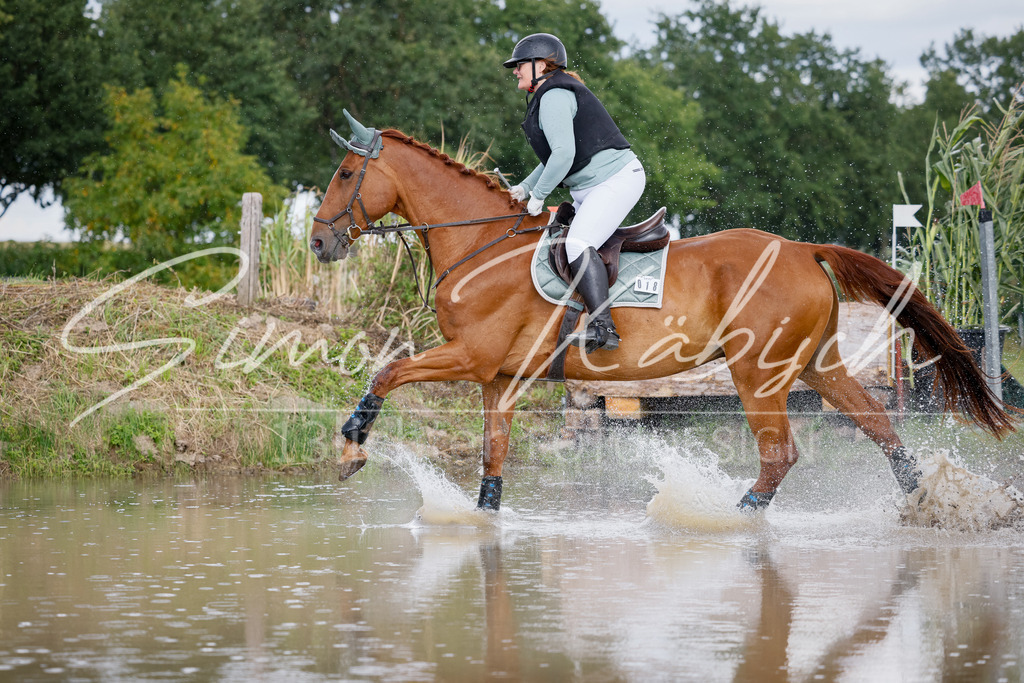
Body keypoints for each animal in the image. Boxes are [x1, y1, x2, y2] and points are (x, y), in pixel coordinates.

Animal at [309, 112, 1016, 512]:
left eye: (343, 175)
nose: (318, 242)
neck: (482, 243)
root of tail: (801, 248)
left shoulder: (471, 357)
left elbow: (385, 372)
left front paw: (350, 450)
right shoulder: (498, 377)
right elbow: (493, 454)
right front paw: (485, 518)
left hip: (759, 374)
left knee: (781, 454)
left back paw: (732, 518)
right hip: (816, 364)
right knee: (879, 426)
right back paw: (923, 505)